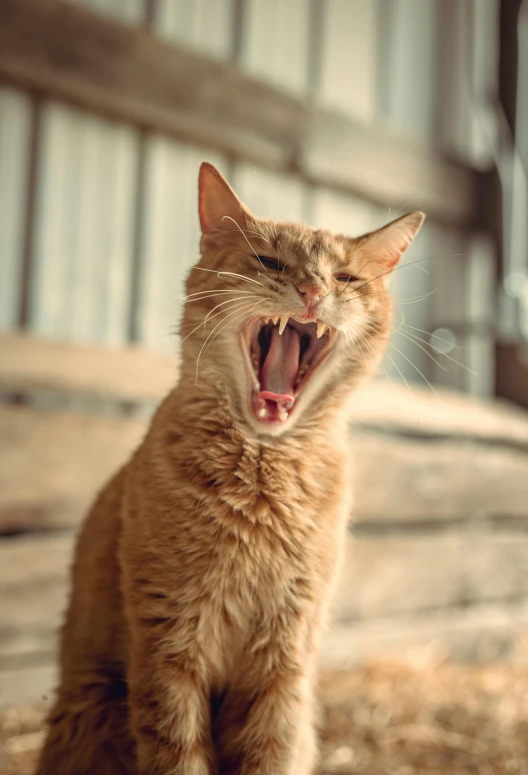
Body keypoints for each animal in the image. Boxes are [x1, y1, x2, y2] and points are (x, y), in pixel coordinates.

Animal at [36, 164, 424, 775]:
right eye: (270, 262)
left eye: (345, 277)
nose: (313, 291)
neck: (265, 474)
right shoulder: (169, 644)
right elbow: (178, 751)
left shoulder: (284, 662)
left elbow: (271, 750)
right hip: (91, 705)